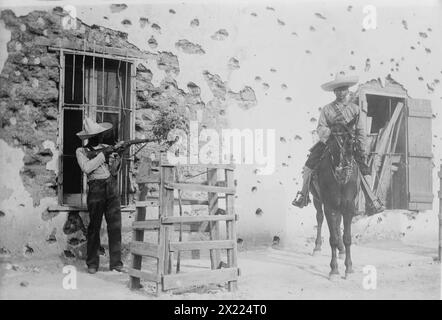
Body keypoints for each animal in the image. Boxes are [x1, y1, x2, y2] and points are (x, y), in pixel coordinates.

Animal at [312, 121, 360, 278]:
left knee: (337, 224)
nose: (345, 167)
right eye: (333, 141)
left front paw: (349, 268)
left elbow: (347, 238)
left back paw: (341, 249)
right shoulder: (329, 206)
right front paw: (334, 269)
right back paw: (317, 247)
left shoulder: (349, 207)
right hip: (317, 200)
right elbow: (332, 238)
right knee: (320, 218)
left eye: (351, 141)